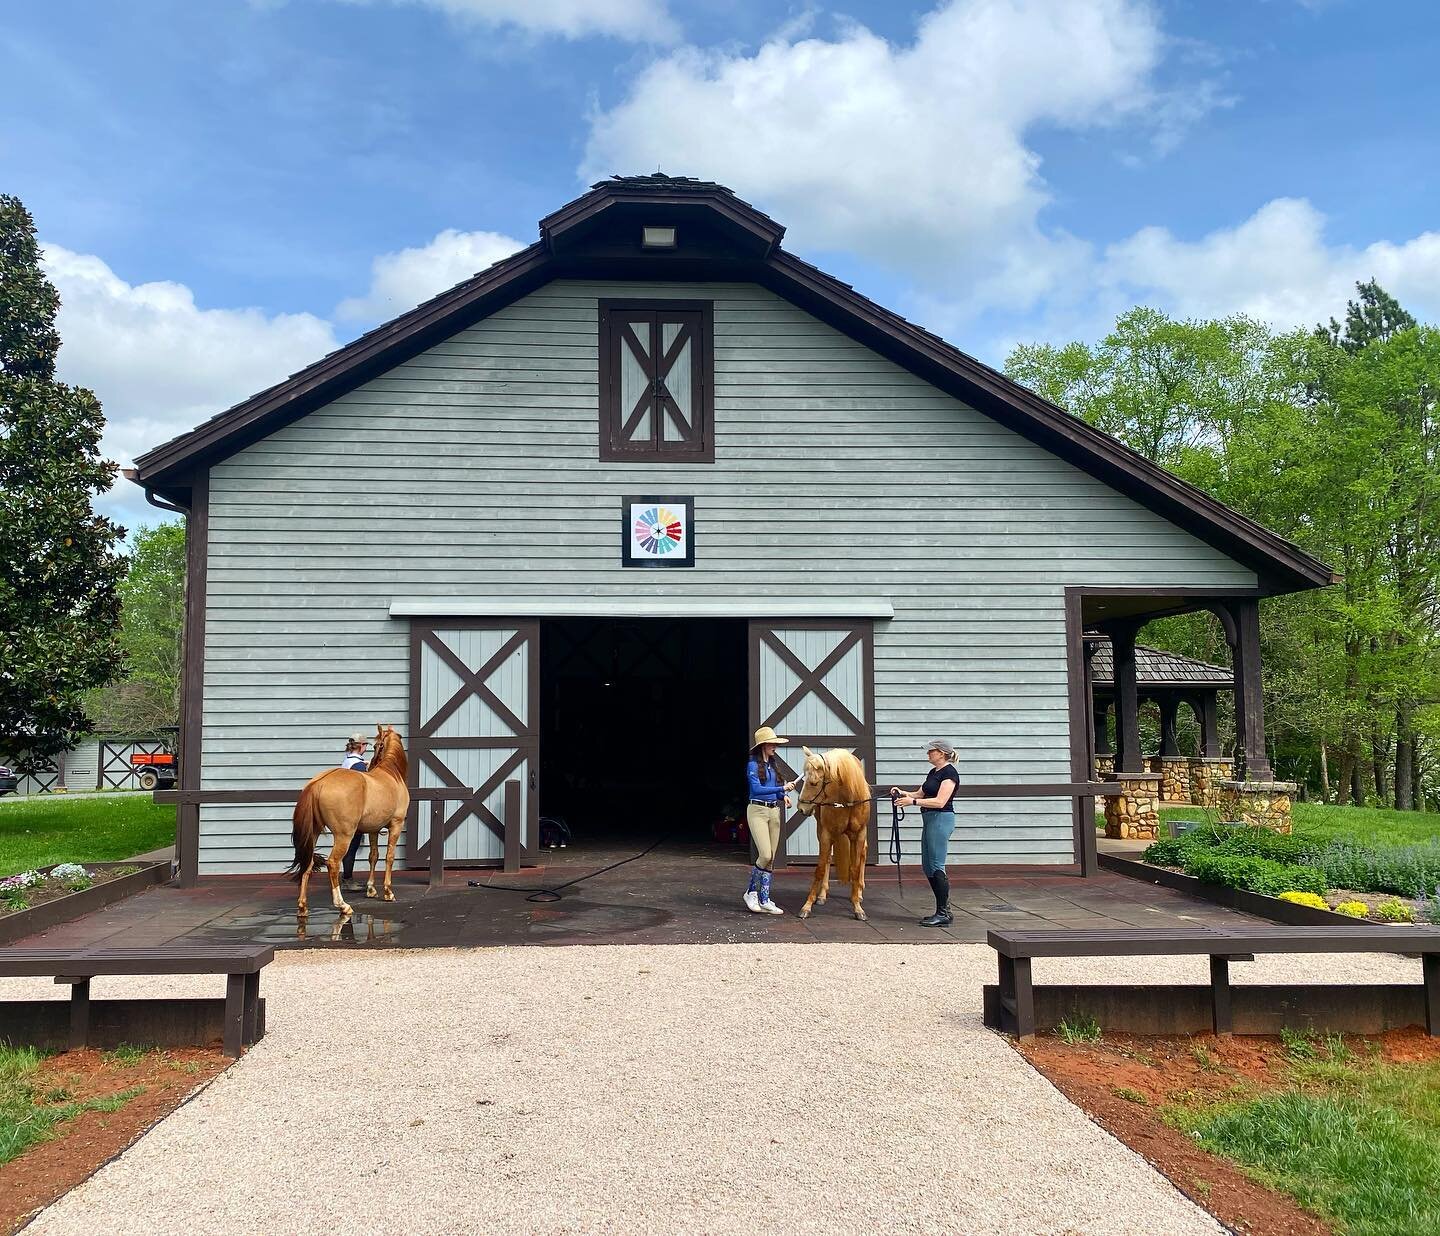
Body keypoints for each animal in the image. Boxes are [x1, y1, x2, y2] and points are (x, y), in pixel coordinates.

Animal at [288, 723, 411, 916]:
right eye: (375, 745)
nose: (371, 764)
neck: (391, 774)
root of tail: (318, 783)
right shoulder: (396, 825)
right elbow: (389, 857)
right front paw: (388, 892)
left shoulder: (374, 830)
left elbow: (373, 856)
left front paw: (371, 889)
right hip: (344, 835)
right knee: (333, 863)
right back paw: (342, 905)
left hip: (313, 833)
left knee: (307, 863)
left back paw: (302, 906)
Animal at [794, 743, 869, 916]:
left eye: (814, 783)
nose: (801, 808)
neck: (848, 800)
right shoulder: (827, 833)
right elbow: (821, 868)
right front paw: (807, 906)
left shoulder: (860, 834)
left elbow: (855, 869)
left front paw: (857, 907)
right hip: (822, 830)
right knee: (828, 859)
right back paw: (822, 895)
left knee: (863, 854)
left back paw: (859, 892)